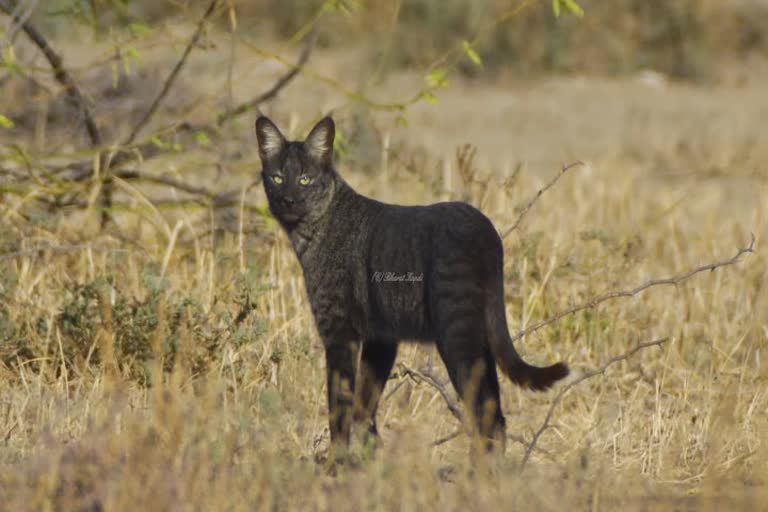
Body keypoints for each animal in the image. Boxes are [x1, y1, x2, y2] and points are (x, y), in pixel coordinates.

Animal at [255, 116, 568, 456]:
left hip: (456, 334)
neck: (312, 231)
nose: (287, 200)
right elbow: (364, 407)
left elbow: (339, 405)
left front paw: (336, 461)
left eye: (304, 179)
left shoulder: (339, 331)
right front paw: (369, 457)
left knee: (485, 412)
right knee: (495, 412)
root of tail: (485, 227)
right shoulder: (380, 338)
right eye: (277, 177)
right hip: (478, 338)